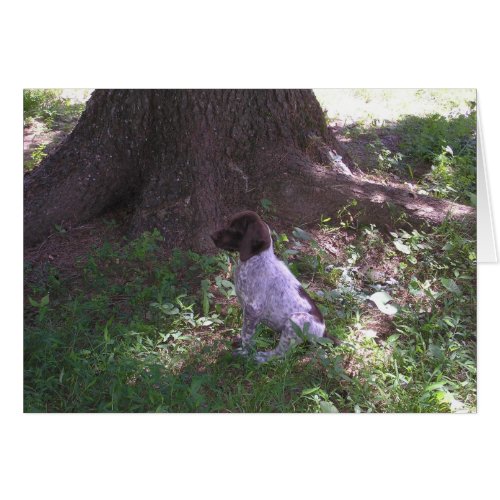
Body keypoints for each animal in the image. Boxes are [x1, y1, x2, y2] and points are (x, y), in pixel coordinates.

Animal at [210, 209, 324, 362]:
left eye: (235, 229)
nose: (211, 236)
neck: (255, 259)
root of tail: (324, 333)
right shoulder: (248, 311)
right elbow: (246, 330)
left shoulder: (253, 309)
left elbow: (247, 334)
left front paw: (244, 352)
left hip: (295, 321)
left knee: (281, 354)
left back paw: (262, 357)